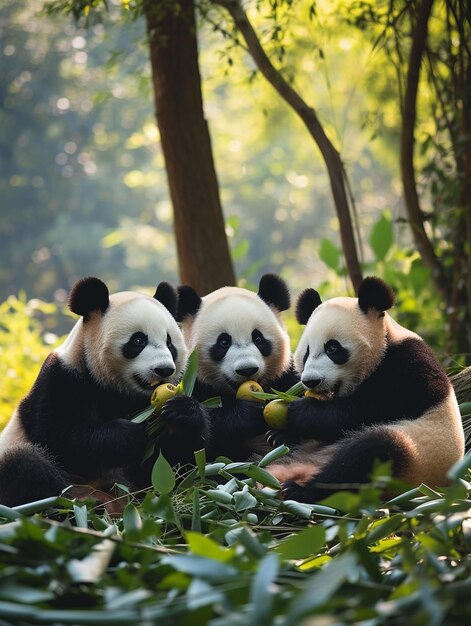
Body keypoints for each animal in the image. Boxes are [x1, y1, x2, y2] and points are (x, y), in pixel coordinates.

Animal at [0, 276, 208, 504]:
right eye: (138, 340)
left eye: (170, 343)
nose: (164, 370)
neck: (114, 389)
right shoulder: (61, 378)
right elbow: (56, 433)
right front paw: (128, 435)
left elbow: (179, 463)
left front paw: (183, 412)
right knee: (24, 467)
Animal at [175, 272, 296, 458]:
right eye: (223, 342)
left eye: (258, 339)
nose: (247, 370)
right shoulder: (192, 382)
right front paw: (246, 413)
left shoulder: (285, 375)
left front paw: (279, 435)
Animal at [268, 276, 466, 500]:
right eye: (307, 352)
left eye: (333, 348)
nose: (310, 381)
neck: (385, 346)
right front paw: (279, 435)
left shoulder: (410, 368)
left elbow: (367, 410)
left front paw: (300, 411)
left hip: (414, 458)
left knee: (369, 455)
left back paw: (300, 490)